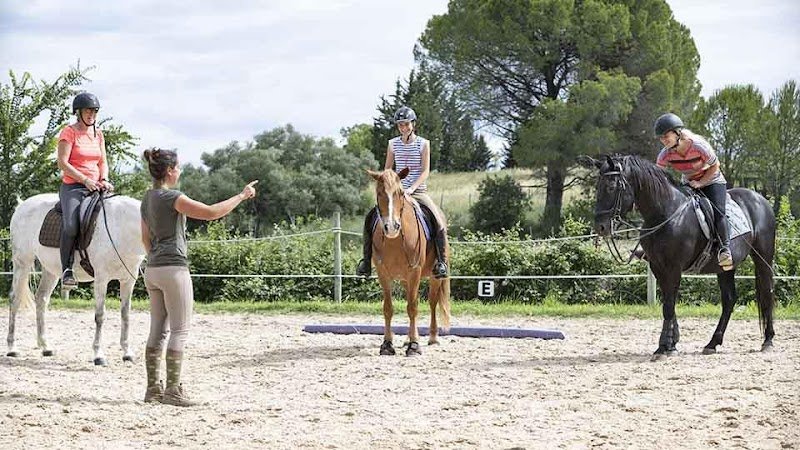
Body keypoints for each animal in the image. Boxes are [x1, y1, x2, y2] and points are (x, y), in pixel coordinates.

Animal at [8, 193, 146, 365]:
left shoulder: (128, 280)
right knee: (15, 299)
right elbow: (100, 315)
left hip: (50, 271)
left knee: (41, 299)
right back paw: (12, 348)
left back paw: (45, 347)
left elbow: (125, 315)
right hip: (22, 263)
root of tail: (22, 205)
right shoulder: (101, 279)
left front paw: (127, 353)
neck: (122, 228)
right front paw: (98, 355)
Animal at [367, 168, 451, 356]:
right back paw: (407, 338)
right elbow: (388, 308)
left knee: (432, 302)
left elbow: (413, 307)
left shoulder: (414, 270)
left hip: (434, 276)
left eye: (399, 193)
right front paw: (387, 344)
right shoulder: (383, 273)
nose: (392, 227)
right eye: (379, 192)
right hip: (406, 279)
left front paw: (414, 346)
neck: (395, 240)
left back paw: (432, 337)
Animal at [590, 155, 776, 360]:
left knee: (767, 292)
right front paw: (672, 343)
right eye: (598, 187)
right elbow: (667, 304)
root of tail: (761, 199)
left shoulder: (673, 267)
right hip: (725, 268)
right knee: (729, 300)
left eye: (611, 187)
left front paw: (664, 347)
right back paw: (712, 343)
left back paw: (768, 340)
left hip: (763, 258)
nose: (600, 227)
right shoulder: (657, 267)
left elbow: (669, 305)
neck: (665, 213)